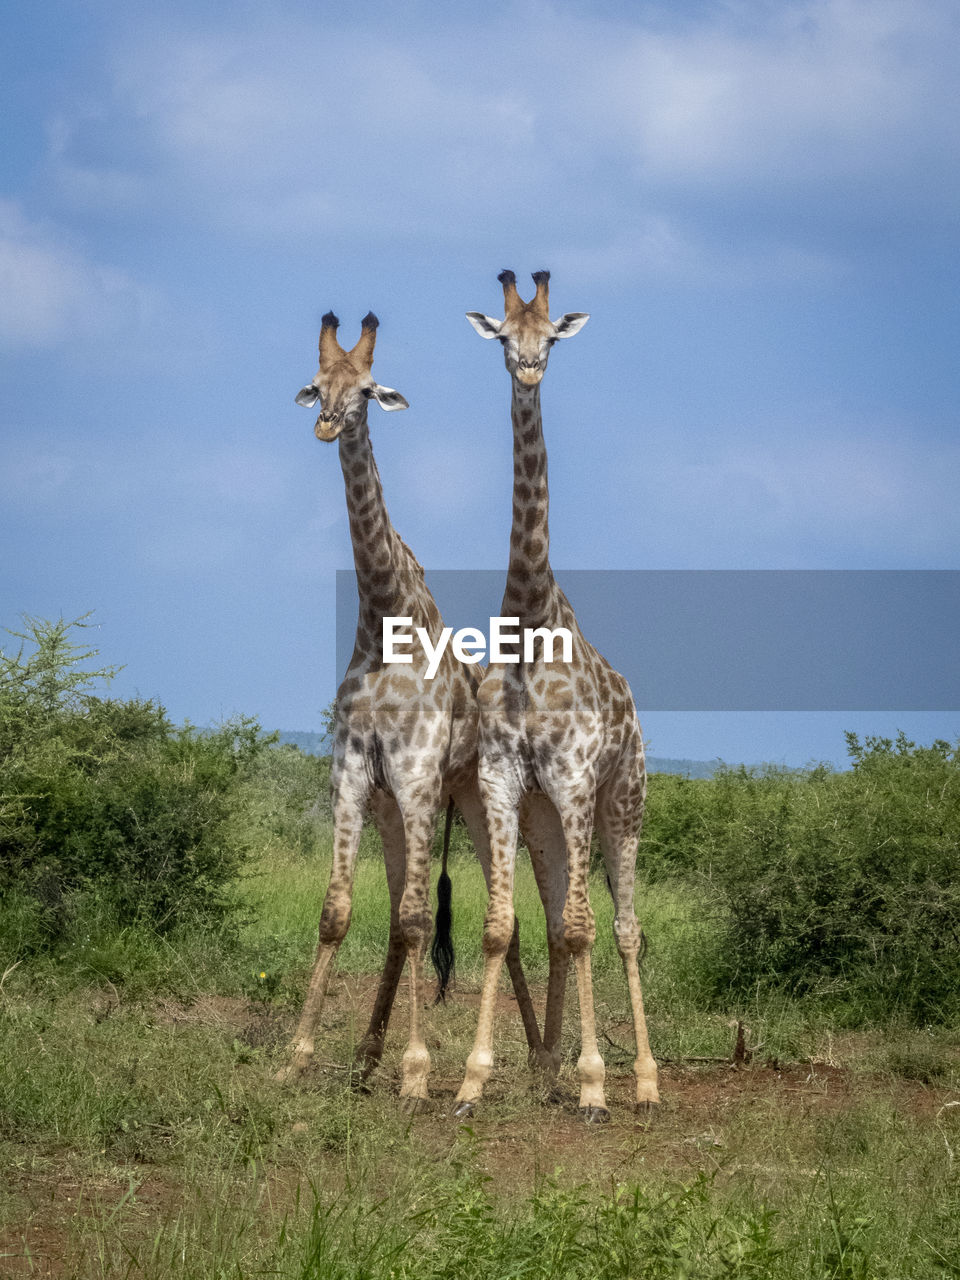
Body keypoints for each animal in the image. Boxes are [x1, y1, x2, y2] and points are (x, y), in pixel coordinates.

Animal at [280, 307, 547, 1100]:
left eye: (368, 390)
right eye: (317, 384)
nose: (325, 425)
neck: (383, 620)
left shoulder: (421, 776)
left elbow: (418, 918)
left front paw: (420, 1071)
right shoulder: (354, 776)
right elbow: (340, 913)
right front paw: (299, 1055)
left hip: (472, 801)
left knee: (494, 923)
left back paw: (540, 1062)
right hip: (396, 810)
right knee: (405, 913)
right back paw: (368, 1055)